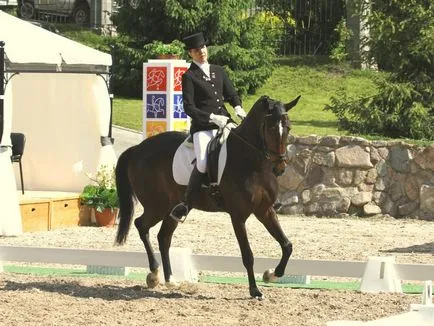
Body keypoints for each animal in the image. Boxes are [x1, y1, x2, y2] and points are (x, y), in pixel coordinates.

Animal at [115, 95, 302, 300]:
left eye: (288, 127)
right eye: (270, 128)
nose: (280, 168)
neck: (253, 164)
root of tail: (138, 148)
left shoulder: (265, 210)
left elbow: (287, 245)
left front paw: (271, 274)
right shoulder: (238, 216)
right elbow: (247, 255)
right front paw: (255, 291)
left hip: (172, 208)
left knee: (163, 237)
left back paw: (170, 279)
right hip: (157, 206)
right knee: (141, 225)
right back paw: (154, 274)